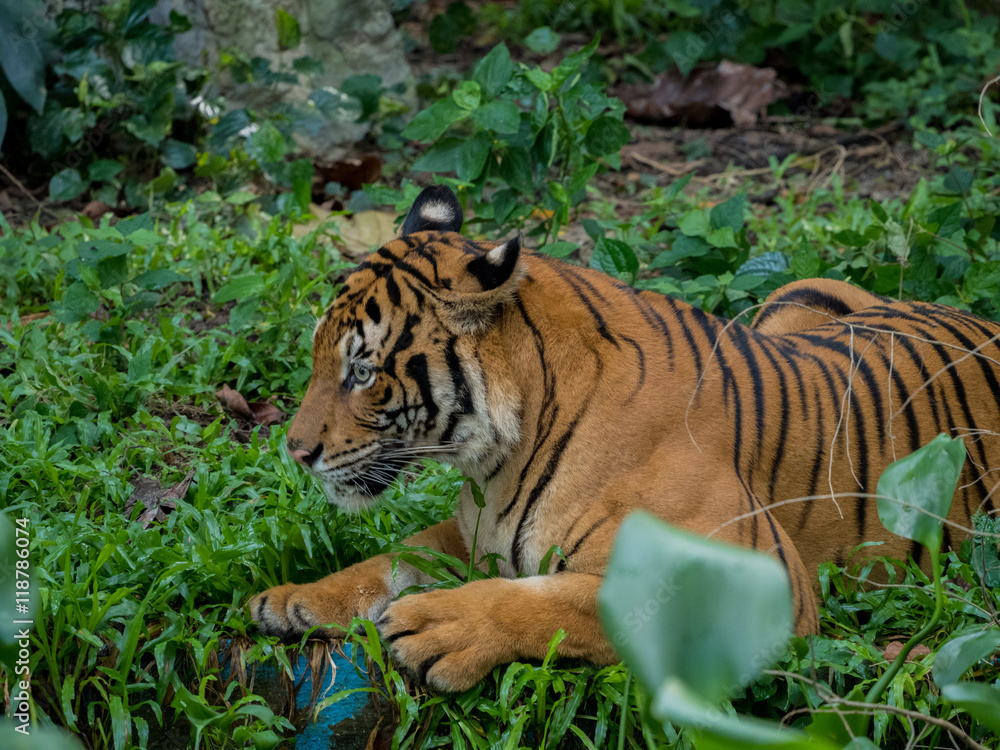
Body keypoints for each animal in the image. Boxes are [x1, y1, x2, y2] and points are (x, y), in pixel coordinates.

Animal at [249, 184, 1000, 692]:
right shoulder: (474, 535)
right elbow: (394, 557)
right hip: (797, 293)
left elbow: (575, 599)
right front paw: (296, 600)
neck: (497, 459)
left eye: (362, 371)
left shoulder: (755, 579)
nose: (295, 452)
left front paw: (433, 626)